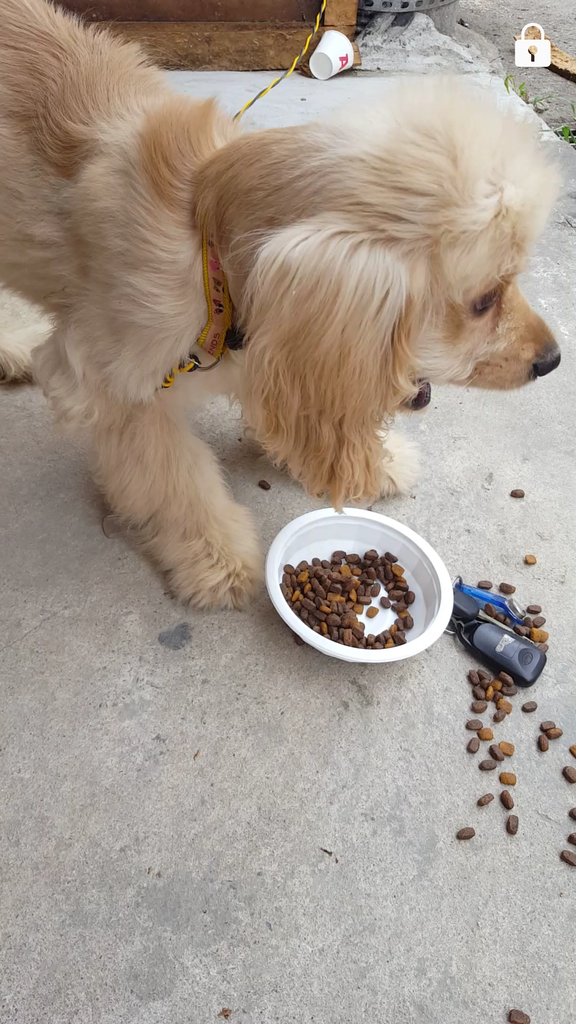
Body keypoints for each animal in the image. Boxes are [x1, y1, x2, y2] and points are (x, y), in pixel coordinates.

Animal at [0, 0, 561, 608]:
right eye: (484, 301)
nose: (553, 361)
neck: (206, 239)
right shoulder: (110, 386)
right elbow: (176, 478)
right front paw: (217, 557)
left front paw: (383, 459)